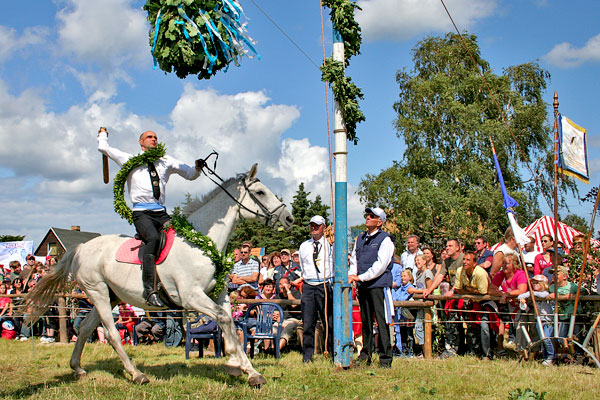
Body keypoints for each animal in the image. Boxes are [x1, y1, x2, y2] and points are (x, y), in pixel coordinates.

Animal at [27, 164, 294, 386]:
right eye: (260, 192)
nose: (288, 218)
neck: (200, 243)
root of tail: (81, 248)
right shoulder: (191, 297)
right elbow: (225, 320)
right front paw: (237, 365)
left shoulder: (217, 293)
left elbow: (227, 322)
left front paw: (246, 369)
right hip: (98, 292)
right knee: (112, 334)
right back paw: (136, 374)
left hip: (110, 295)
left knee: (84, 329)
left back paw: (78, 368)